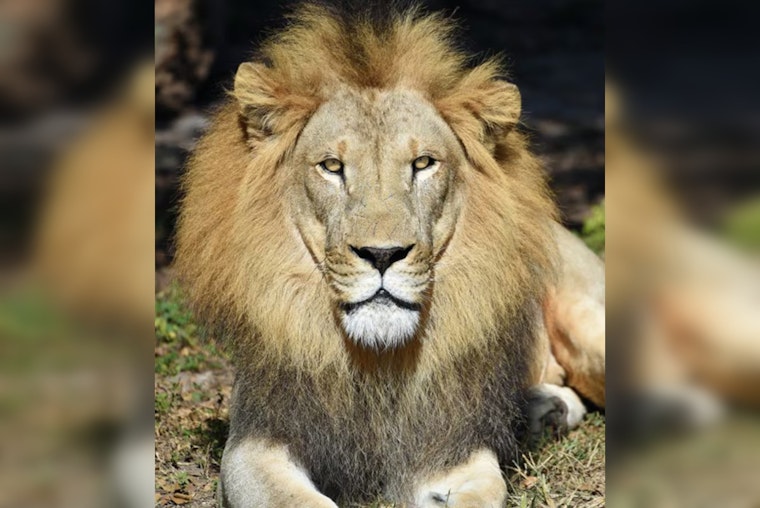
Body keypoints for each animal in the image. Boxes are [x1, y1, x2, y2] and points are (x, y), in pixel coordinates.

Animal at [174, 5, 605, 507]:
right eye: (331, 166)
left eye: (423, 164)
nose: (382, 255)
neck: (378, 361)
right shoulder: (254, 443)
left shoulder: (453, 454)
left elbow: (484, 491)